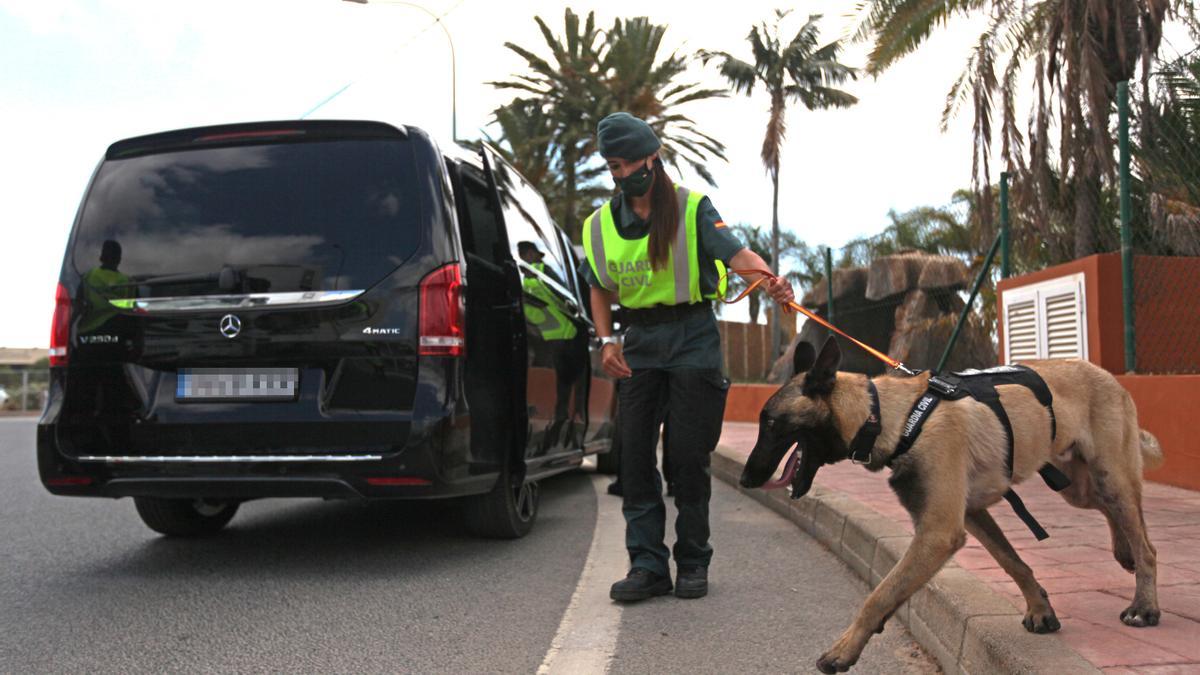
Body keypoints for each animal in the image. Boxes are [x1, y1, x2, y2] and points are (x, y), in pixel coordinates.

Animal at [739, 333, 1161, 667]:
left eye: (771, 423)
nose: (745, 480)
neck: (892, 419)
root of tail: (1104, 373)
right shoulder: (971, 514)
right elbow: (1012, 562)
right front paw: (1040, 608)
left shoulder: (938, 532)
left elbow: (881, 594)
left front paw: (843, 649)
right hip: (1077, 487)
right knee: (1112, 513)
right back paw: (1123, 550)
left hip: (1109, 476)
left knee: (1147, 543)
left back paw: (1144, 605)